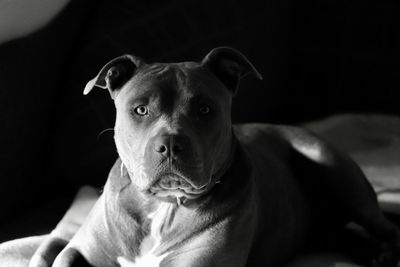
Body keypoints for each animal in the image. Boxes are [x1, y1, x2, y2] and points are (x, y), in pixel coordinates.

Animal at [25, 47, 400, 266]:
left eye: (205, 109)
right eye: (140, 109)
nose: (170, 144)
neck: (165, 205)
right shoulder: (77, 250)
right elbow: (54, 255)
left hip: (336, 172)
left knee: (383, 227)